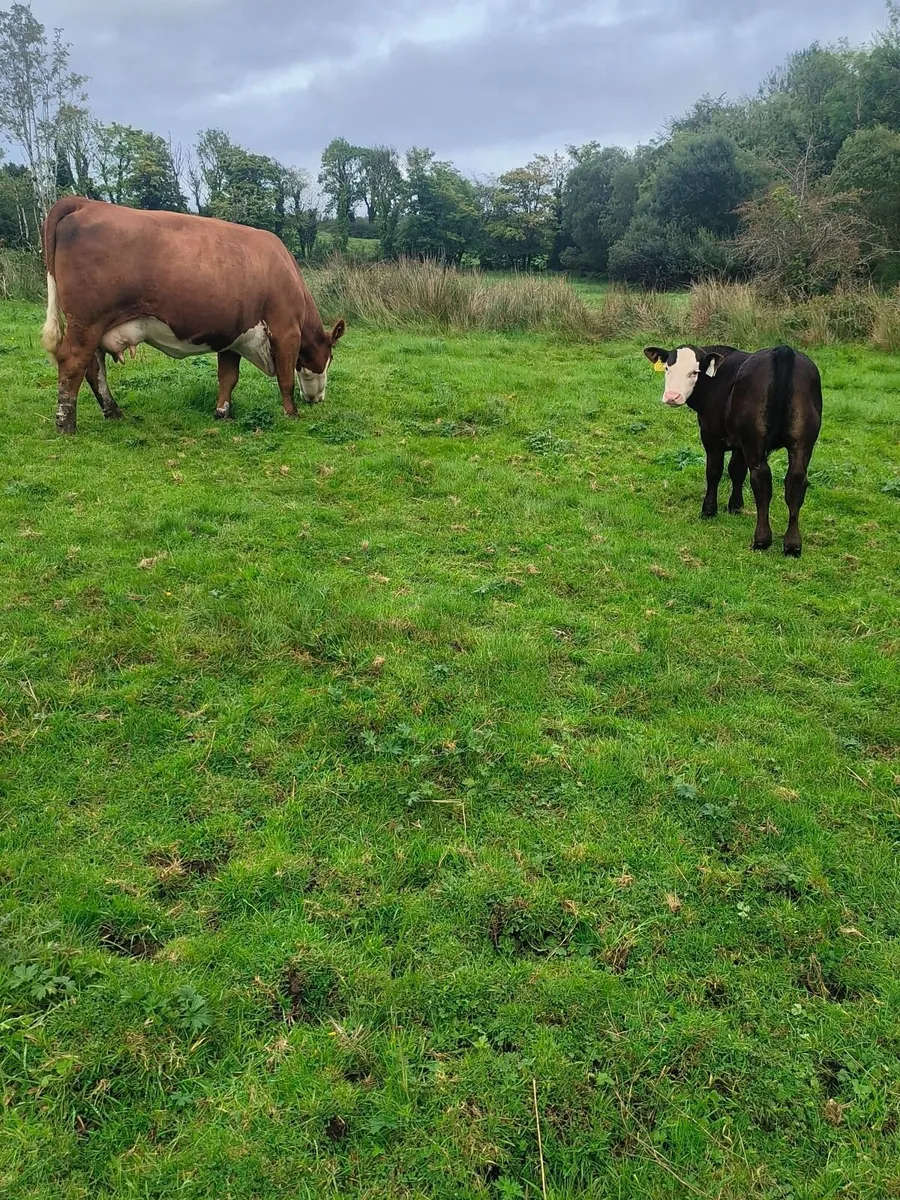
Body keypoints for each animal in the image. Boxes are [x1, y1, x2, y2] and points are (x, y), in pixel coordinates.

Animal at [40, 196, 346, 434]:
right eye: (329, 358)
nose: (317, 399)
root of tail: (85, 202)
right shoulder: (285, 330)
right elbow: (285, 377)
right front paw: (292, 414)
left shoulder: (232, 335)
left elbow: (228, 377)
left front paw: (222, 413)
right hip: (86, 322)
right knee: (72, 363)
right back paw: (66, 425)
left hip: (94, 327)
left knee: (94, 368)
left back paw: (113, 412)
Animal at [643, 343, 823, 556]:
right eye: (667, 369)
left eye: (695, 372)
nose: (672, 397)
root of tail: (783, 351)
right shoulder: (740, 443)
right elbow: (736, 470)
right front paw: (736, 506)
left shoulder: (712, 436)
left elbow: (714, 472)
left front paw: (709, 510)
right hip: (802, 442)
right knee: (796, 480)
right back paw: (792, 544)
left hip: (755, 440)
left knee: (761, 478)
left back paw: (762, 540)